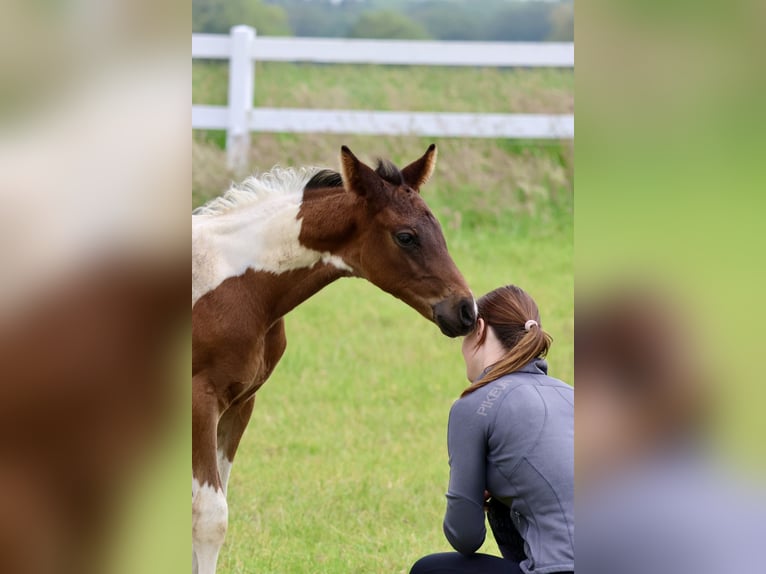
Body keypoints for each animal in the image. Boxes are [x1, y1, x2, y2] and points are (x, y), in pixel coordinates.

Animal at [191, 146, 476, 572]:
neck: (236, 284)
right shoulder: (200, 401)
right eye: (405, 236)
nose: (466, 310)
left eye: (439, 231)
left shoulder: (240, 403)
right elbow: (209, 516)